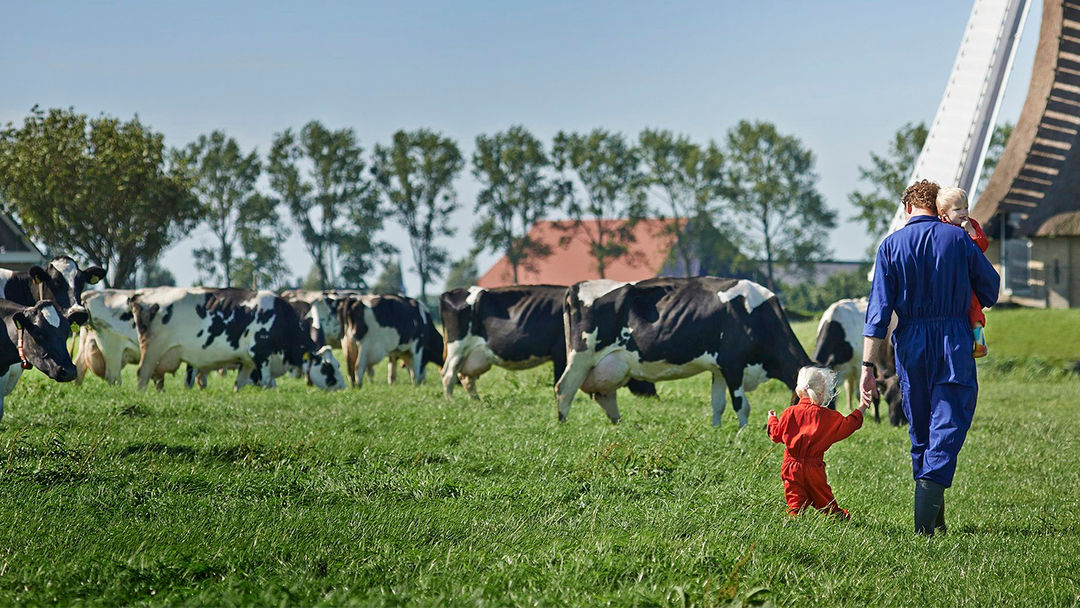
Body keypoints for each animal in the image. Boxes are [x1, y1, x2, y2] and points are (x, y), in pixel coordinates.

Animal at [127, 287, 343, 393]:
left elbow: (240, 384)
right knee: (142, 374)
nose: (342, 387)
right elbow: (266, 382)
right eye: (327, 367)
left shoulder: (247, 362)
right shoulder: (260, 353)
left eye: (338, 364)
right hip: (152, 350)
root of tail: (142, 295)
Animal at [438, 285, 656, 401]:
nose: (654, 396)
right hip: (457, 348)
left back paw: (476, 401)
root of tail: (451, 293)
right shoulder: (561, 353)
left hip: (472, 355)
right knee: (448, 375)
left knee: (466, 378)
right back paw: (451, 401)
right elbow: (563, 378)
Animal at [557, 276, 812, 427]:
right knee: (564, 388)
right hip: (580, 357)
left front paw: (717, 430)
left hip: (611, 364)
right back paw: (563, 425)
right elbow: (742, 406)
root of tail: (575, 286)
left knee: (605, 395)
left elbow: (718, 403)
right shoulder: (733, 364)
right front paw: (743, 434)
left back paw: (618, 424)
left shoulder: (719, 368)